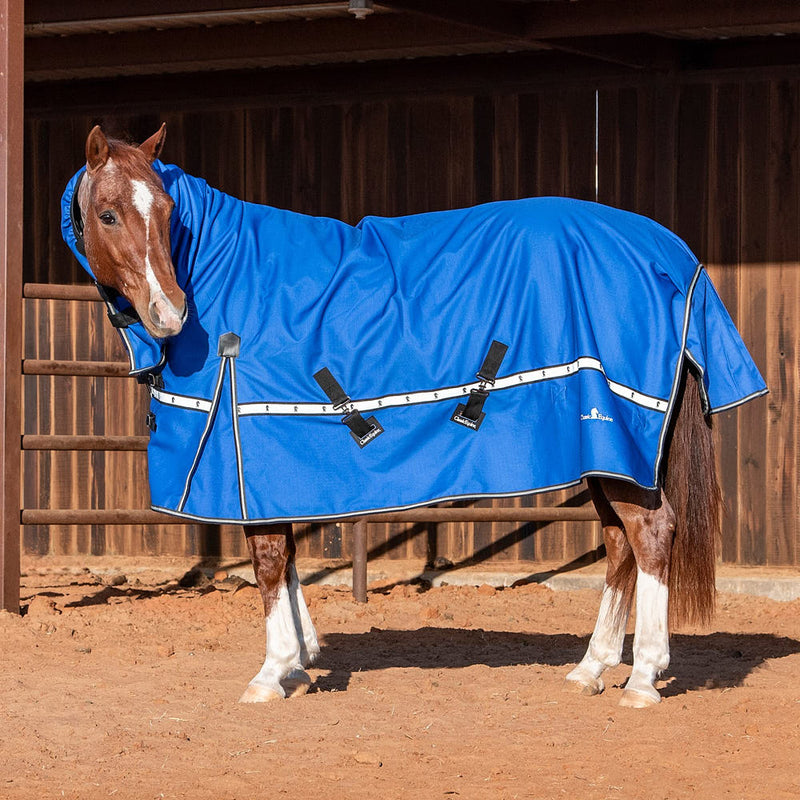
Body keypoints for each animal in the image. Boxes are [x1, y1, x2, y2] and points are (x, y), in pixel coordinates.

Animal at [62, 124, 766, 708]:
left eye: (167, 212)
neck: (229, 271)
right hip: (607, 451)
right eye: (108, 213)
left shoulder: (248, 443)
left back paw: (642, 678)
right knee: (621, 543)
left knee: (651, 535)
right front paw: (302, 660)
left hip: (621, 441)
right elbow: (286, 559)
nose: (170, 313)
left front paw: (273, 672)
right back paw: (590, 669)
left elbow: (267, 559)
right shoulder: (270, 464)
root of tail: (669, 252)